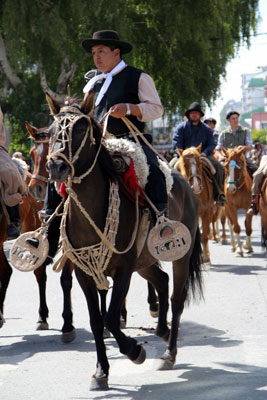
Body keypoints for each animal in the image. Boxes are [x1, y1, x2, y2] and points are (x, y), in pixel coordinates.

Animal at [45, 92, 203, 390]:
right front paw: (101, 371)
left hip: (180, 256)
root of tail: (186, 185)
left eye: (81, 129)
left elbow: (110, 317)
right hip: (146, 261)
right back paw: (161, 331)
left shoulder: (124, 271)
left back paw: (168, 353)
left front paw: (135, 350)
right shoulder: (85, 273)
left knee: (177, 298)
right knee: (162, 281)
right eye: (50, 131)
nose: (56, 166)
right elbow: (97, 321)